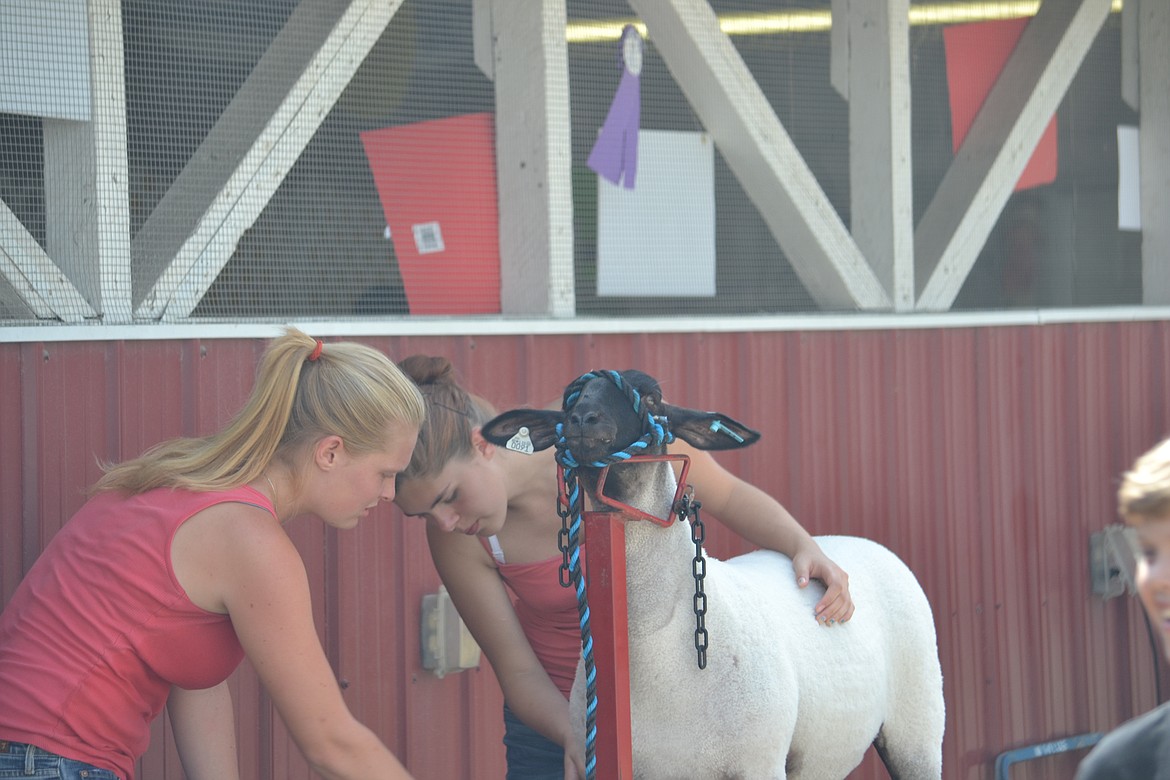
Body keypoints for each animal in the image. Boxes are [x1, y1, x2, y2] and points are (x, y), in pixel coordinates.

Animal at [479, 369, 945, 776]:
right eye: (568, 401)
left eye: (653, 397)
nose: (583, 420)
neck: (657, 650)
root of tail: (861, 542)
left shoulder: (758, 764)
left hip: (918, 727)